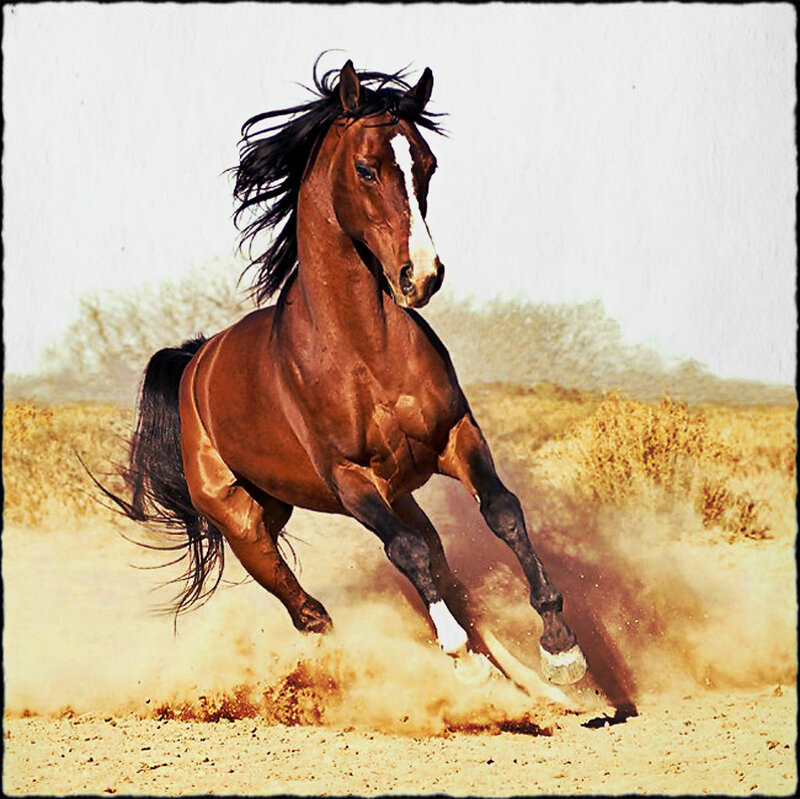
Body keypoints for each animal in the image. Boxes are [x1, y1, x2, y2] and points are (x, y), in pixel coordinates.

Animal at [104, 58, 587, 687]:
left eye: (427, 164)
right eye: (365, 169)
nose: (422, 276)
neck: (364, 352)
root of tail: (197, 363)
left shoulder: (456, 436)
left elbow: (502, 512)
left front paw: (560, 647)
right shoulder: (350, 478)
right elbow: (405, 552)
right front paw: (460, 655)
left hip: (380, 494)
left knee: (434, 559)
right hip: (245, 521)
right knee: (309, 610)